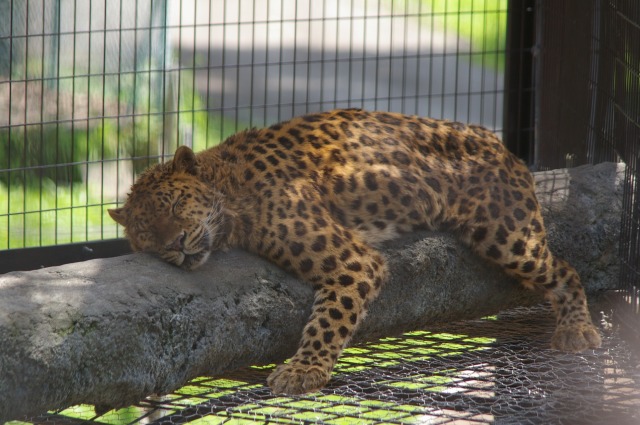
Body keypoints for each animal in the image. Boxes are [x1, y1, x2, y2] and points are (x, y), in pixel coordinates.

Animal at [107, 108, 604, 394]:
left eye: (175, 205)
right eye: (146, 234)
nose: (175, 244)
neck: (228, 186)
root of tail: (497, 140)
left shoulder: (352, 260)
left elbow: (330, 319)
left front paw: (303, 371)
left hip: (508, 236)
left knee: (564, 268)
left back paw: (578, 329)